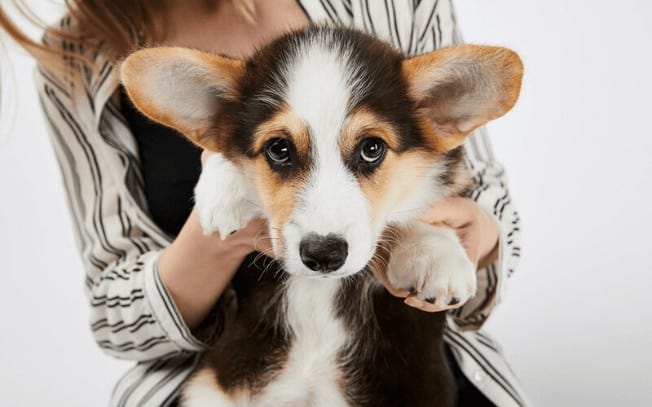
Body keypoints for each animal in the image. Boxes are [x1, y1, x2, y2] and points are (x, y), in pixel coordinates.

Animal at [122, 25, 524, 407]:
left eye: (372, 148)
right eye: (279, 149)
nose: (324, 255)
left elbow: (416, 212)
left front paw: (436, 256)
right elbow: (223, 146)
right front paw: (222, 191)